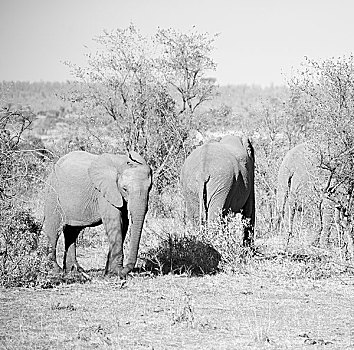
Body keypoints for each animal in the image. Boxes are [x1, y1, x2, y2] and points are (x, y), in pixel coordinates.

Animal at [43, 149, 152, 278]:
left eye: (150, 188)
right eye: (125, 189)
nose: (124, 271)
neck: (121, 163)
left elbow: (124, 223)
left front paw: (109, 273)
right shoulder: (104, 191)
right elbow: (115, 222)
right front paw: (116, 272)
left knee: (72, 232)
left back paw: (74, 271)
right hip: (52, 194)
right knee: (53, 230)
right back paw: (57, 271)